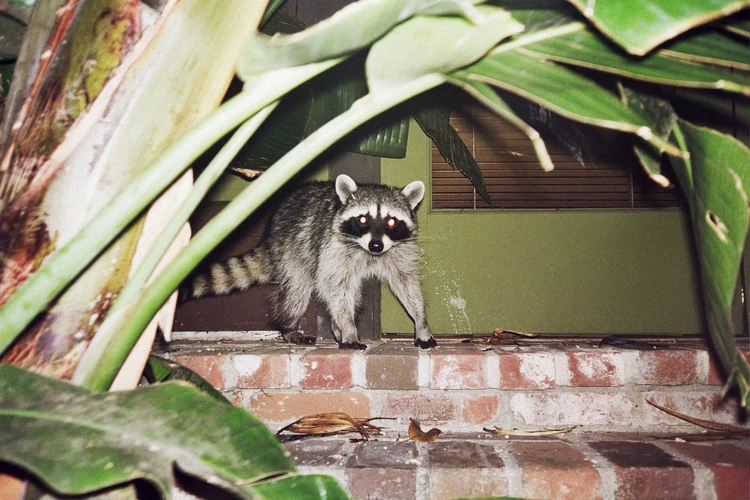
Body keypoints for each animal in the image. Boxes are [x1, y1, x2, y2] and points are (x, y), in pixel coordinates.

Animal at [180, 174, 437, 350]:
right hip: (291, 251)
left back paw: (335, 326)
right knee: (296, 291)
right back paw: (291, 327)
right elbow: (334, 285)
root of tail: (269, 236)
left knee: (353, 294)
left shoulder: (399, 250)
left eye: (391, 221)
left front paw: (421, 321)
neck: (368, 252)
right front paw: (348, 327)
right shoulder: (331, 247)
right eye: (363, 219)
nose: (376, 246)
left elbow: (406, 284)